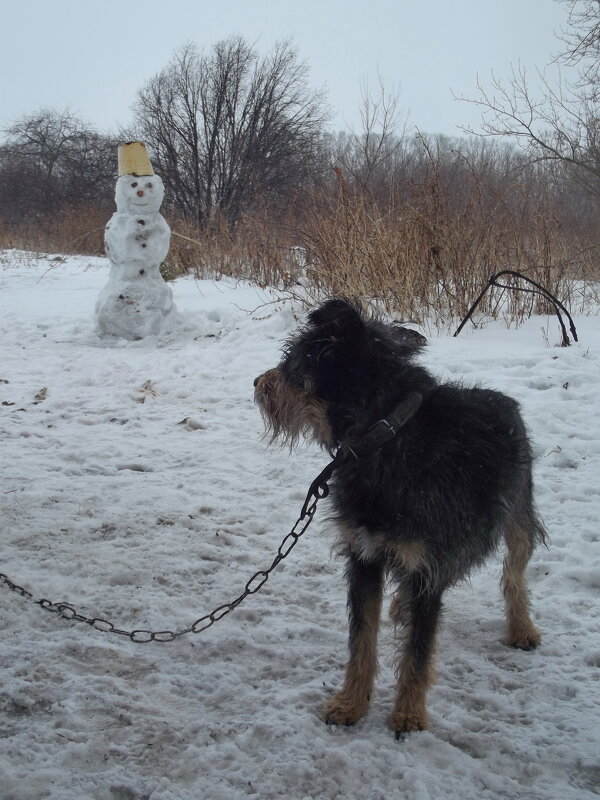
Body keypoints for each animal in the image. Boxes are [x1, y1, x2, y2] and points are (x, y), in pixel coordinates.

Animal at [252, 296, 544, 736]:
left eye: (292, 362)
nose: (257, 383)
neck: (386, 436)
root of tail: (504, 399)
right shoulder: (364, 557)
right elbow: (361, 639)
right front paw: (351, 703)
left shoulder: (427, 569)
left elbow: (418, 652)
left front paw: (408, 714)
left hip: (519, 517)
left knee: (514, 573)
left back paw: (521, 627)